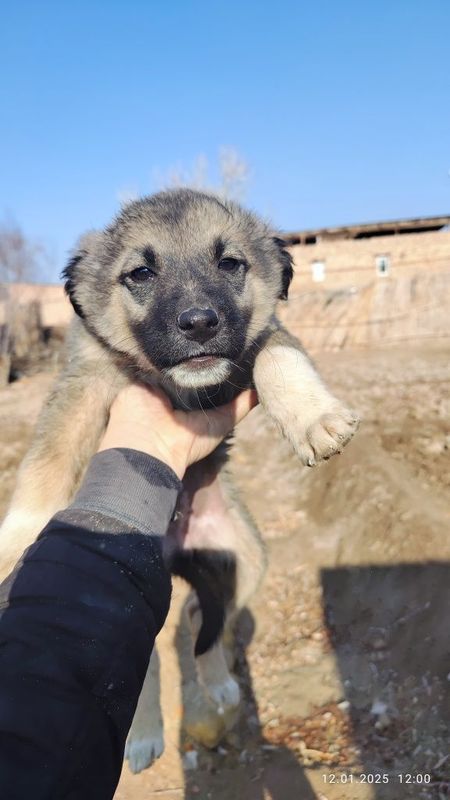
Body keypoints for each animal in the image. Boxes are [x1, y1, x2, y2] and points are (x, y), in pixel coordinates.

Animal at [0, 188, 358, 768]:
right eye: (141, 273)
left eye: (230, 263)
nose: (199, 323)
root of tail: (178, 549)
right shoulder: (84, 380)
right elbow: (48, 456)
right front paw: (20, 532)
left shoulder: (263, 338)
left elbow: (279, 357)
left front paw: (314, 417)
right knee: (144, 660)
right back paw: (145, 734)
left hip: (247, 560)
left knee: (199, 619)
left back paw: (220, 686)